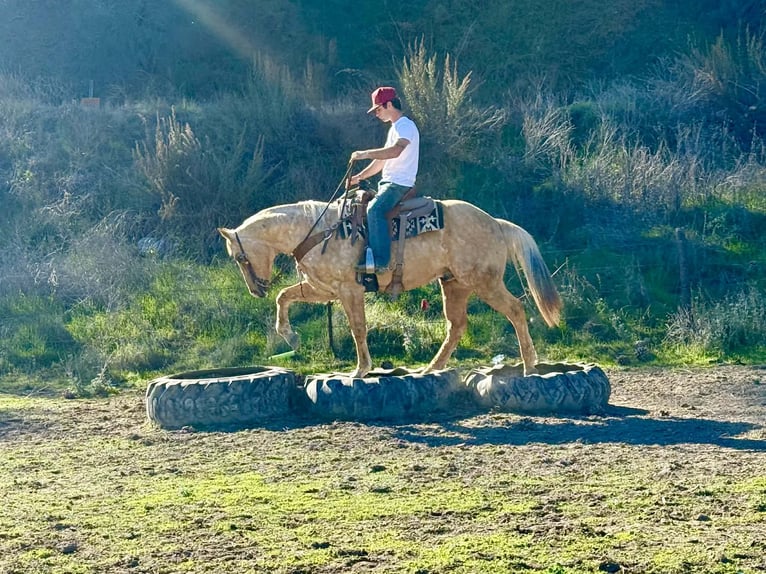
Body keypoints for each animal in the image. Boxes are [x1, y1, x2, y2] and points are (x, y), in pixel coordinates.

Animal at [218, 198, 562, 378]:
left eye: (239, 257)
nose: (256, 290)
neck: (316, 232)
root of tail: (496, 224)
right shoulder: (323, 289)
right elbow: (284, 296)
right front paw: (290, 336)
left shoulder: (349, 290)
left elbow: (358, 328)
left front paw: (360, 370)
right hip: (455, 285)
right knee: (456, 326)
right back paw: (431, 368)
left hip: (484, 283)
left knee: (516, 310)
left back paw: (529, 365)